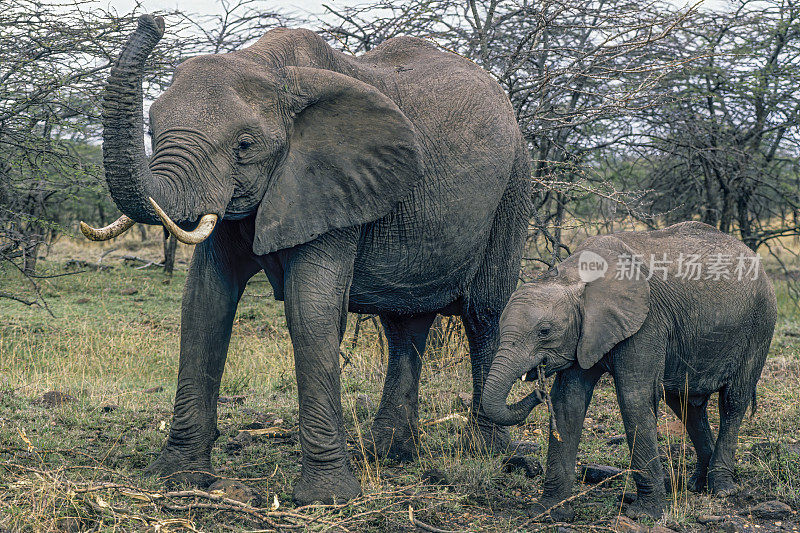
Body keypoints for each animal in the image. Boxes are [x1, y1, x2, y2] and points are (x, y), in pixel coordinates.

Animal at [81, 13, 532, 502]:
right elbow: (205, 302)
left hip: (514, 185)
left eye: (244, 145)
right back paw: (388, 454)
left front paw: (327, 498)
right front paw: (178, 477)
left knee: (484, 312)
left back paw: (487, 452)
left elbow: (310, 310)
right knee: (404, 325)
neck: (270, 69)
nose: (154, 20)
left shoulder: (334, 184)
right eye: (151, 131)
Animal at [482, 221, 776, 520]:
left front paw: (644, 515)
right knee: (685, 403)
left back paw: (722, 489)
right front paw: (547, 512)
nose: (539, 389)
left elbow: (634, 398)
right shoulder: (585, 334)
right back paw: (697, 484)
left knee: (733, 401)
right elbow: (567, 401)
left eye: (544, 331)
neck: (574, 275)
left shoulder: (646, 322)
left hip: (761, 322)